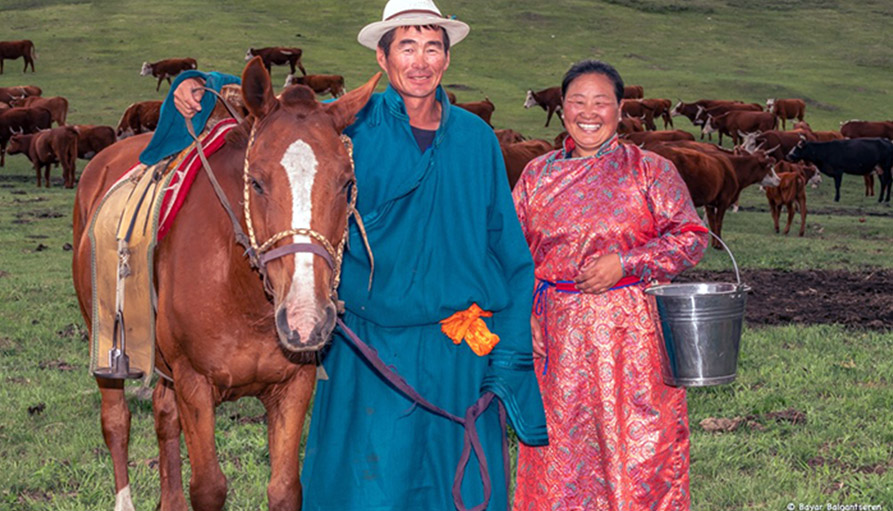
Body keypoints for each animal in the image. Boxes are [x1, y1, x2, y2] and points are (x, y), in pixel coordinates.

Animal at [72, 57, 380, 511]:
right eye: (256, 182)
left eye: (347, 183)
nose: (305, 320)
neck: (242, 292)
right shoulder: (195, 384)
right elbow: (209, 488)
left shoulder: (294, 386)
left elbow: (285, 489)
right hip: (107, 343)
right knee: (116, 422)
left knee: (164, 417)